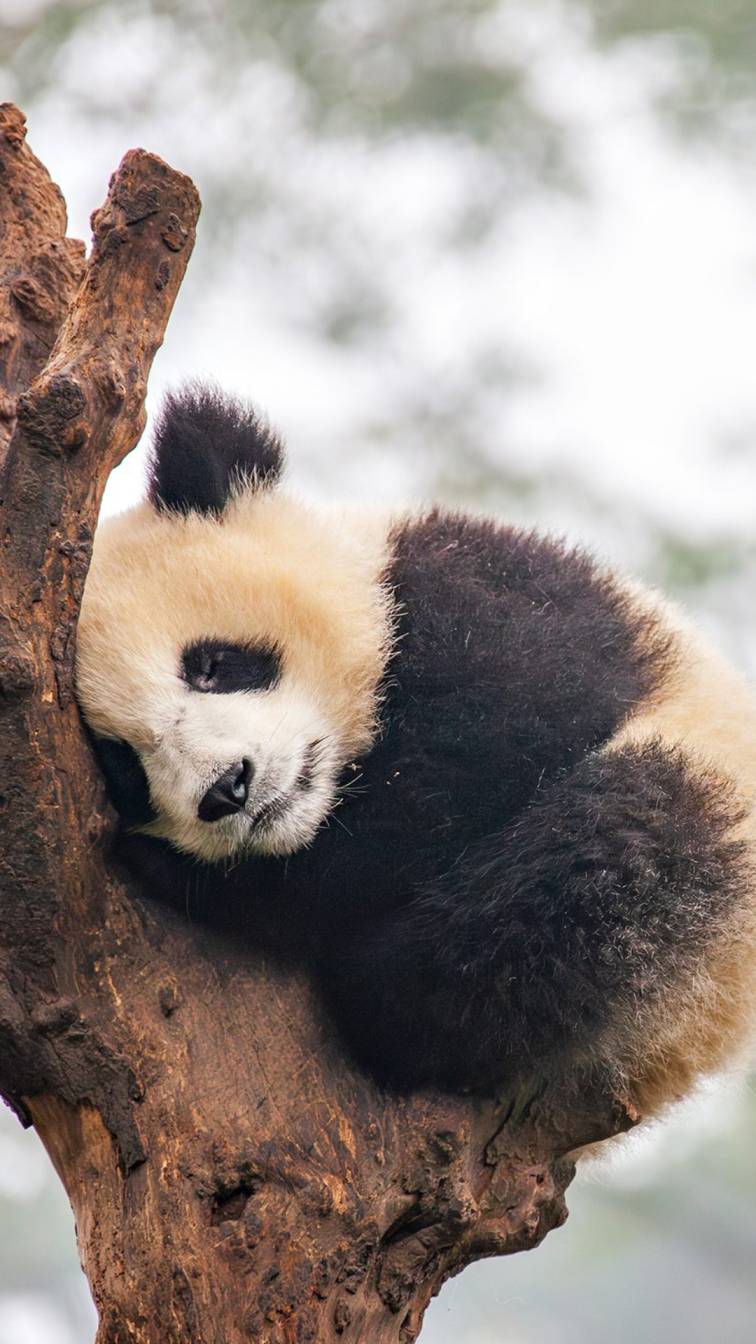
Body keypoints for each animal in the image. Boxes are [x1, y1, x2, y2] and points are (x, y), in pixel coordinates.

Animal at [76, 382, 756, 1117]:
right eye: (126, 771)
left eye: (212, 665)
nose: (227, 789)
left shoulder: (502, 601)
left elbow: (477, 754)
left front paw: (194, 877)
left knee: (614, 855)